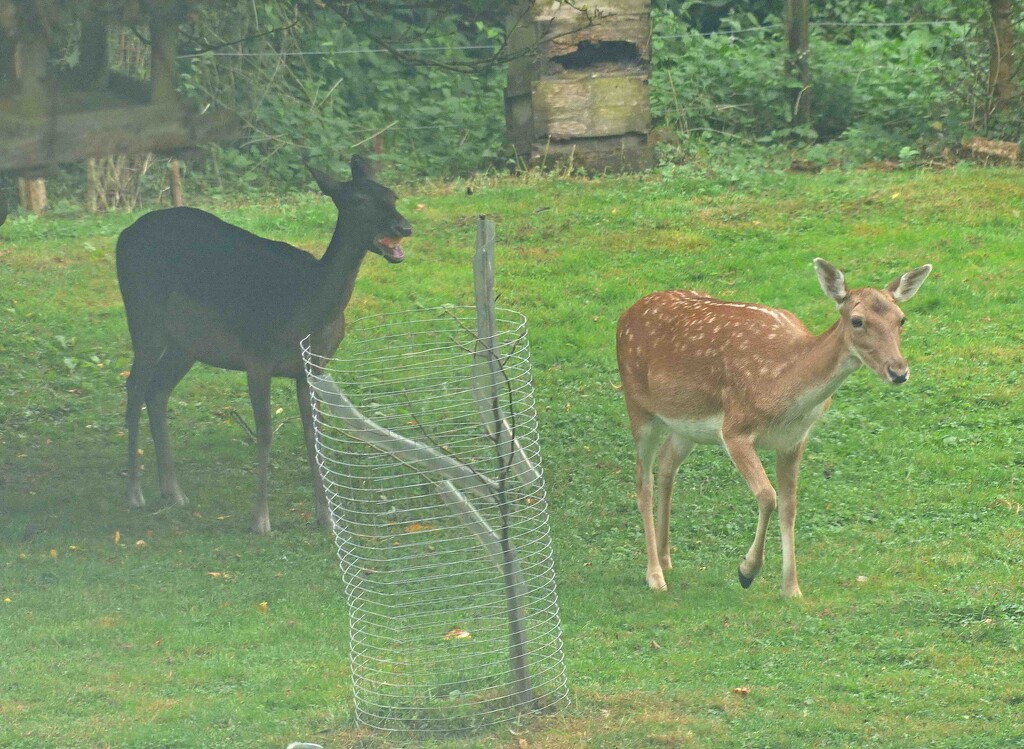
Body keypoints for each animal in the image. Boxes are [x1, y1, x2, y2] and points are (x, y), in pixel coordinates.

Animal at [116, 156, 411, 532]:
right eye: (358, 200)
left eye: (393, 194)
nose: (403, 226)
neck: (306, 311)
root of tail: (123, 235)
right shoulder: (257, 357)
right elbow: (265, 431)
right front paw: (261, 519)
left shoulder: (312, 367)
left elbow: (313, 434)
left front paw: (326, 518)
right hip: (144, 318)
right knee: (135, 386)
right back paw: (135, 492)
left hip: (186, 344)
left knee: (157, 390)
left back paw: (174, 491)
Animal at [618, 262, 933, 598]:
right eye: (857, 320)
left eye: (901, 319)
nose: (898, 371)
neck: (783, 387)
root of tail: (625, 315)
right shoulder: (734, 429)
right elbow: (768, 496)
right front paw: (746, 571)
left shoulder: (794, 439)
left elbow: (789, 507)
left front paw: (792, 588)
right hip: (638, 406)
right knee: (643, 481)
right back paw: (654, 575)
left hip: (685, 425)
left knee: (667, 465)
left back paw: (666, 558)